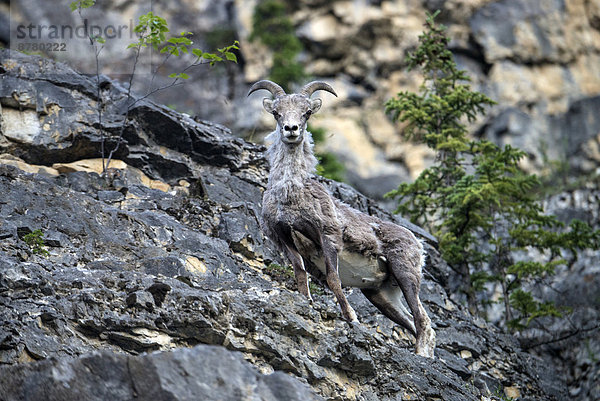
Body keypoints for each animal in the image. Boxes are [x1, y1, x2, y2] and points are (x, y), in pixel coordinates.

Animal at [248, 79, 436, 354]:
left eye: (306, 113)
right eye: (276, 112)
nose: (291, 129)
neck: (289, 193)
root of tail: (418, 246)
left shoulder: (328, 237)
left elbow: (333, 280)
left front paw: (352, 318)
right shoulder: (286, 239)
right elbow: (300, 273)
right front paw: (306, 301)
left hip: (406, 275)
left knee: (423, 320)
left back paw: (421, 355)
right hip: (381, 295)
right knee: (412, 322)